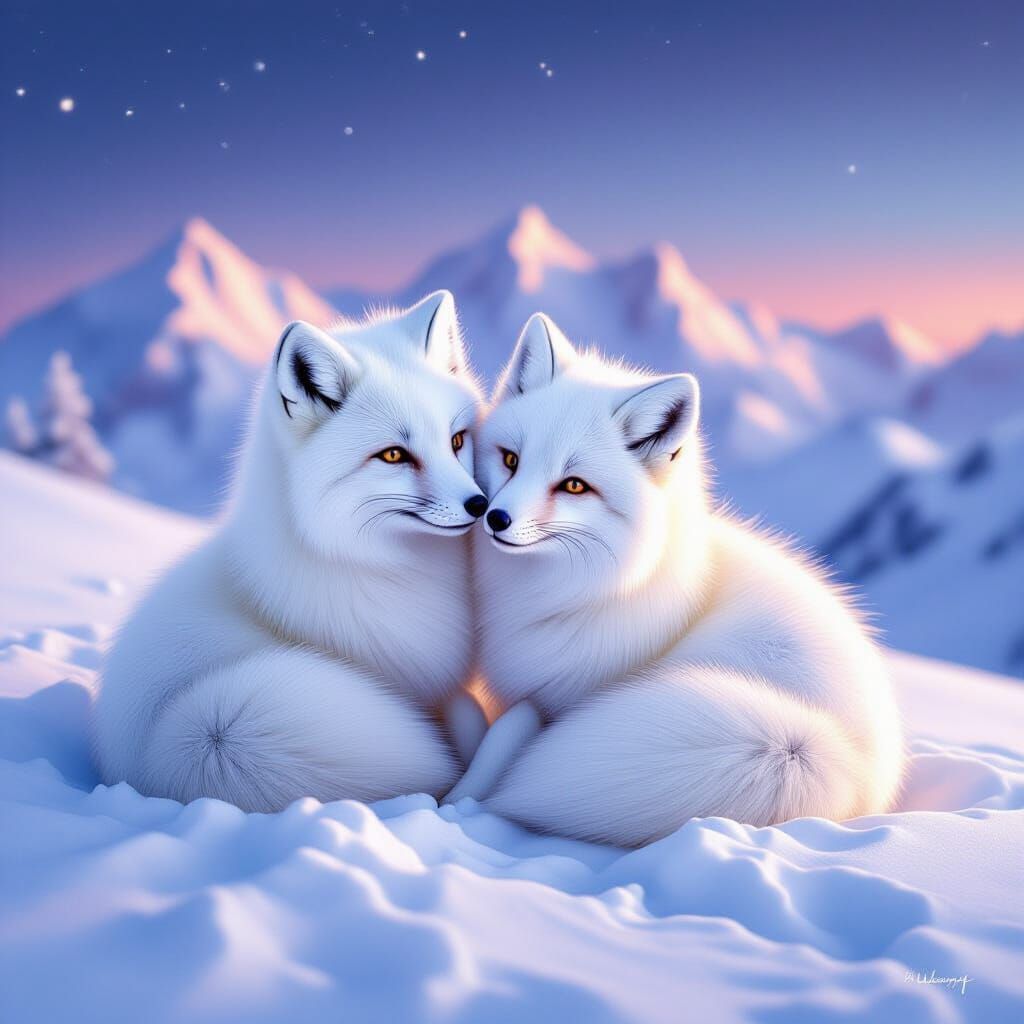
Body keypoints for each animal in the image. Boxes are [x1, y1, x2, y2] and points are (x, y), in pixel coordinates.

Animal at [445, 313, 905, 846]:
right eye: (510, 460)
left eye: (574, 486)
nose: (495, 518)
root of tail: (846, 765)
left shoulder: (557, 697)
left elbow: (503, 744)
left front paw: (458, 800)